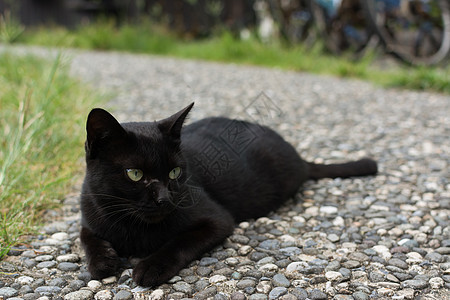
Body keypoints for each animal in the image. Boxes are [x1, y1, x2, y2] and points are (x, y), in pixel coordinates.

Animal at [80, 102, 376, 286]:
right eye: (134, 174)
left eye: (175, 172)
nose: (165, 198)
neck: (134, 230)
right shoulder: (89, 214)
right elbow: (87, 238)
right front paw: (103, 261)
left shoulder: (217, 220)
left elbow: (179, 242)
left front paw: (151, 267)